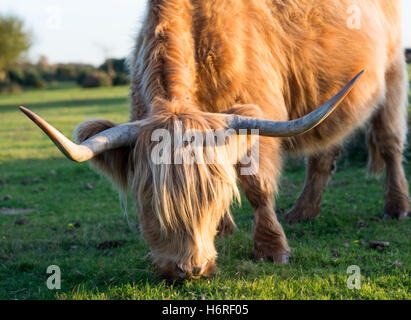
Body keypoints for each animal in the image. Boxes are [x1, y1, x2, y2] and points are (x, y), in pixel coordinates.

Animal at [21, 0, 408, 278]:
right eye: (148, 203)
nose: (190, 269)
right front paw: (224, 231)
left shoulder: (256, 114)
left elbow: (256, 187)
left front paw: (272, 249)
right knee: (324, 152)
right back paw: (303, 213)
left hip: (391, 75)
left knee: (389, 142)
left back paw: (396, 207)